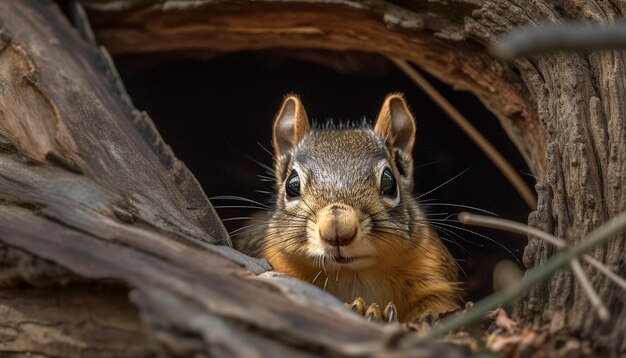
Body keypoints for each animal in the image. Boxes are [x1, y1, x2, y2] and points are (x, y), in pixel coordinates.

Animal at [236, 93, 460, 324]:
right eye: (292, 185)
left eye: (389, 182)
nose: (337, 230)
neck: (351, 273)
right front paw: (362, 309)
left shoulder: (432, 267)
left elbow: (440, 303)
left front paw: (421, 317)